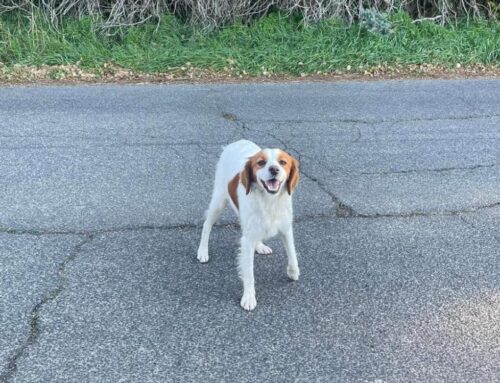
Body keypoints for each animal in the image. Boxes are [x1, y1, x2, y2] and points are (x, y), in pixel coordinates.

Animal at [196, 140, 298, 312]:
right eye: (261, 162)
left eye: (283, 162)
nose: (274, 169)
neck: (269, 201)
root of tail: (236, 142)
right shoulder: (248, 240)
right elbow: (249, 272)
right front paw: (249, 298)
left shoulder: (285, 228)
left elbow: (292, 253)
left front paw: (293, 272)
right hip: (219, 202)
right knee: (206, 225)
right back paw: (202, 251)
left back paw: (260, 246)